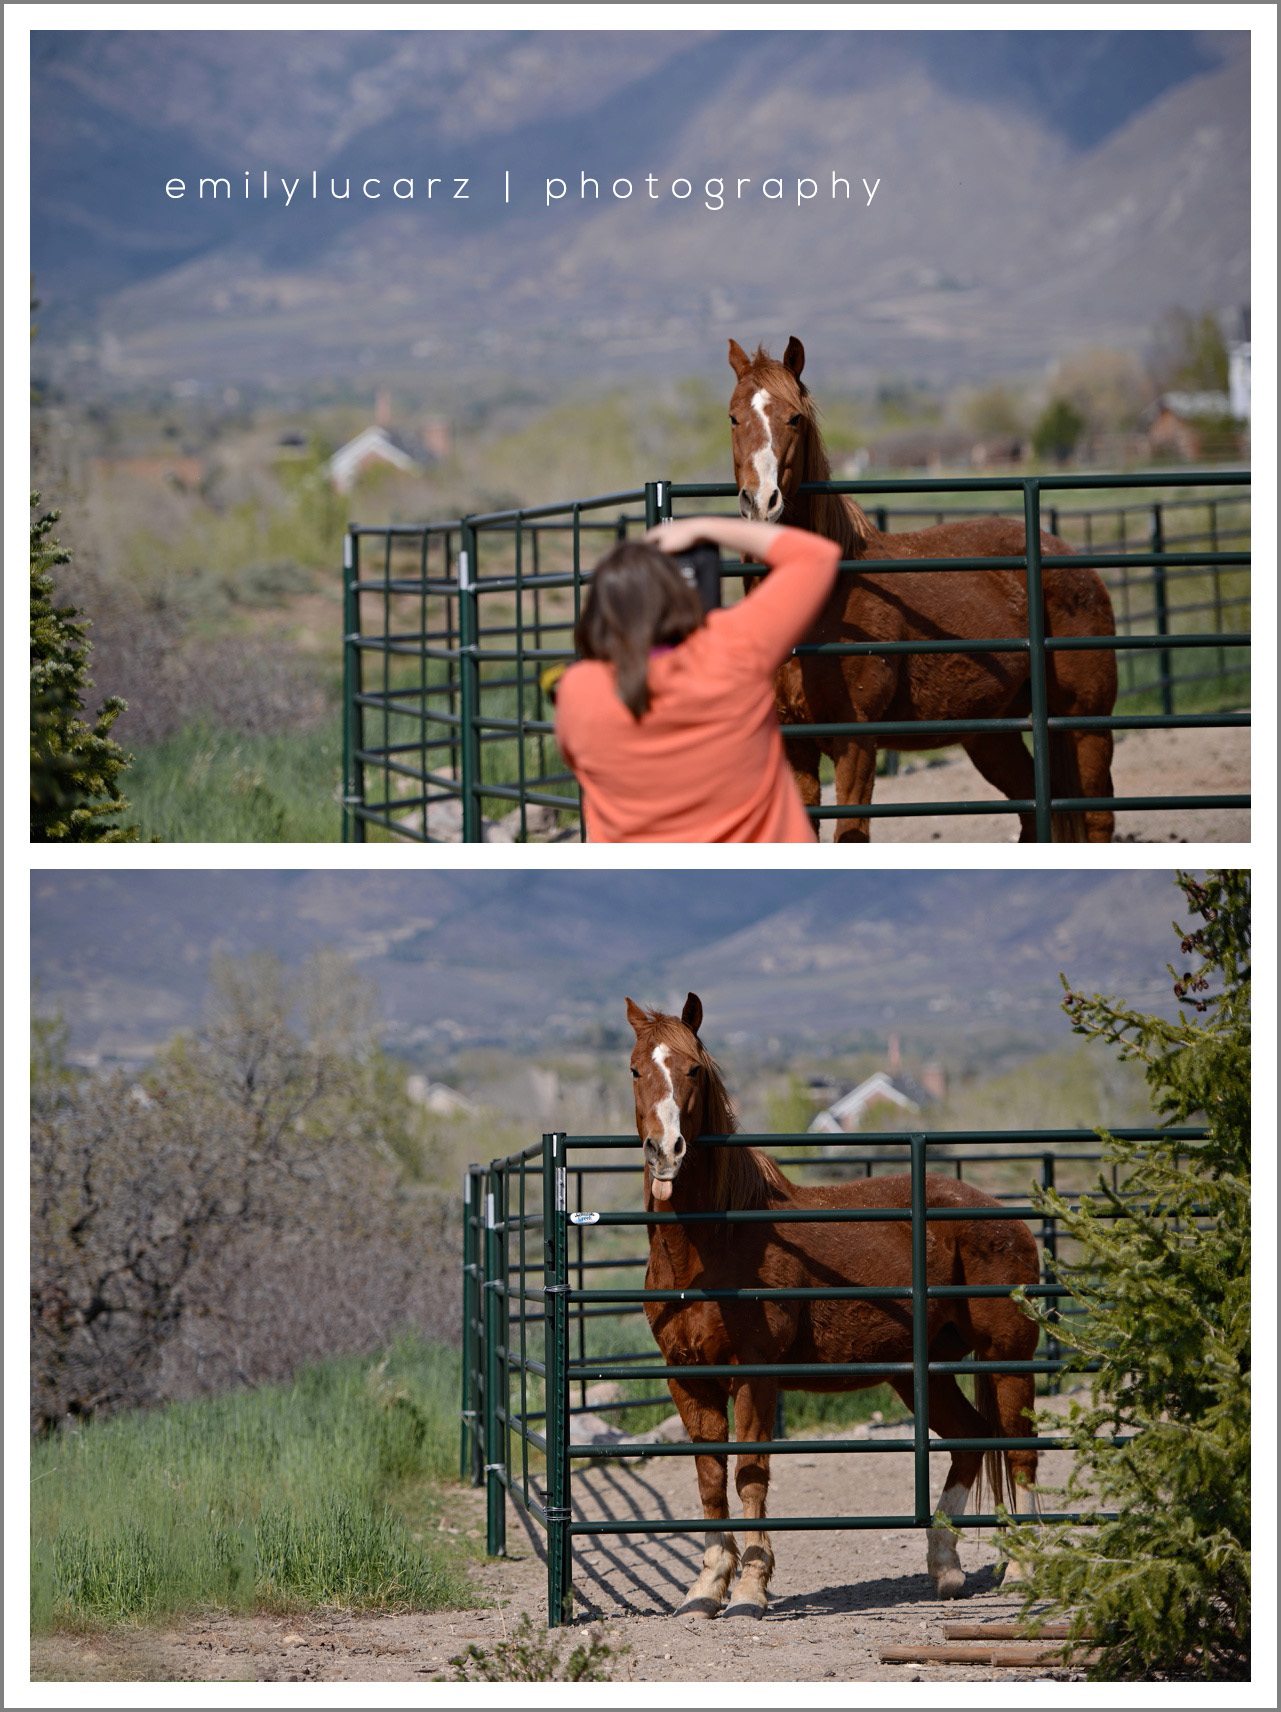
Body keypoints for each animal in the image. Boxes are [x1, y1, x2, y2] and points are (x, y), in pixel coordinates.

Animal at [626, 999, 1041, 1609]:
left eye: (693, 1070)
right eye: (636, 1070)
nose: (666, 1151)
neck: (714, 1246)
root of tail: (1004, 1217)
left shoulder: (754, 1375)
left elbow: (750, 1472)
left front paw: (750, 1588)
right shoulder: (687, 1377)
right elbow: (708, 1475)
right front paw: (706, 1587)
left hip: (1007, 1358)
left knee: (1020, 1450)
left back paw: (1022, 1570)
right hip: (921, 1372)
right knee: (972, 1440)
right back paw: (945, 1568)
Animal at [726, 335, 1116, 842]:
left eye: (794, 418)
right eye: (734, 417)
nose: (761, 501)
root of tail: (1068, 556)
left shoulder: (856, 743)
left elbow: (851, 833)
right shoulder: (795, 747)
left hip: (1086, 723)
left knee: (1096, 816)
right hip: (991, 733)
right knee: (1033, 810)